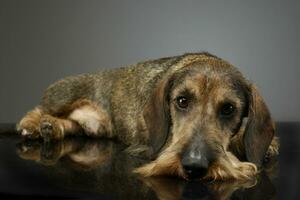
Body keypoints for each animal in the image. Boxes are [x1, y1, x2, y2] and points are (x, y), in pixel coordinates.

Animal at [16, 52, 278, 180]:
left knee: (73, 125)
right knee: (39, 108)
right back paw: (33, 125)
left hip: (94, 128)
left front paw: (267, 146)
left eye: (228, 109)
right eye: (182, 100)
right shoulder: (153, 147)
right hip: (63, 94)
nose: (194, 166)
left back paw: (53, 127)